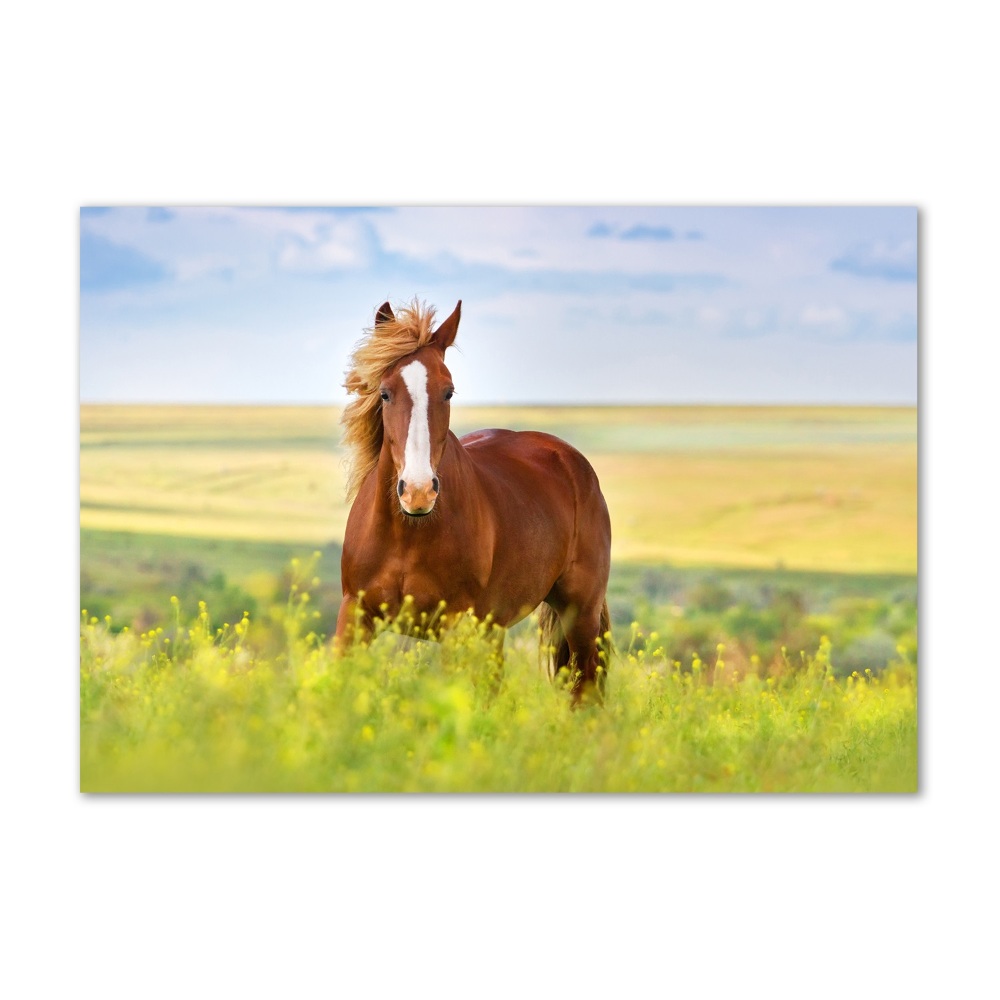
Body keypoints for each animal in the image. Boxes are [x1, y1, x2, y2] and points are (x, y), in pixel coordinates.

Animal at [340, 296, 612, 704]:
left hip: (580, 614)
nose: (418, 491)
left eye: (448, 392)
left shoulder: (455, 626)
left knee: (584, 690)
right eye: (385, 393)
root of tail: (570, 460)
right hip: (495, 628)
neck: (408, 534)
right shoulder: (354, 615)